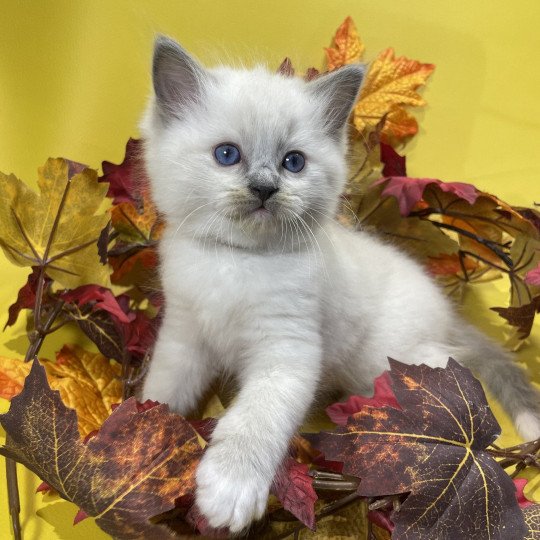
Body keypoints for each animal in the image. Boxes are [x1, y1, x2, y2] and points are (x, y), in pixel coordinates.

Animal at [140, 37, 540, 532]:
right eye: (227, 155)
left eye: (293, 163)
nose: (265, 188)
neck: (236, 261)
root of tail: (447, 311)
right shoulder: (184, 338)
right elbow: (161, 393)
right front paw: (135, 440)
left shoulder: (288, 354)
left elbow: (254, 419)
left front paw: (230, 489)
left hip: (388, 360)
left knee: (453, 369)